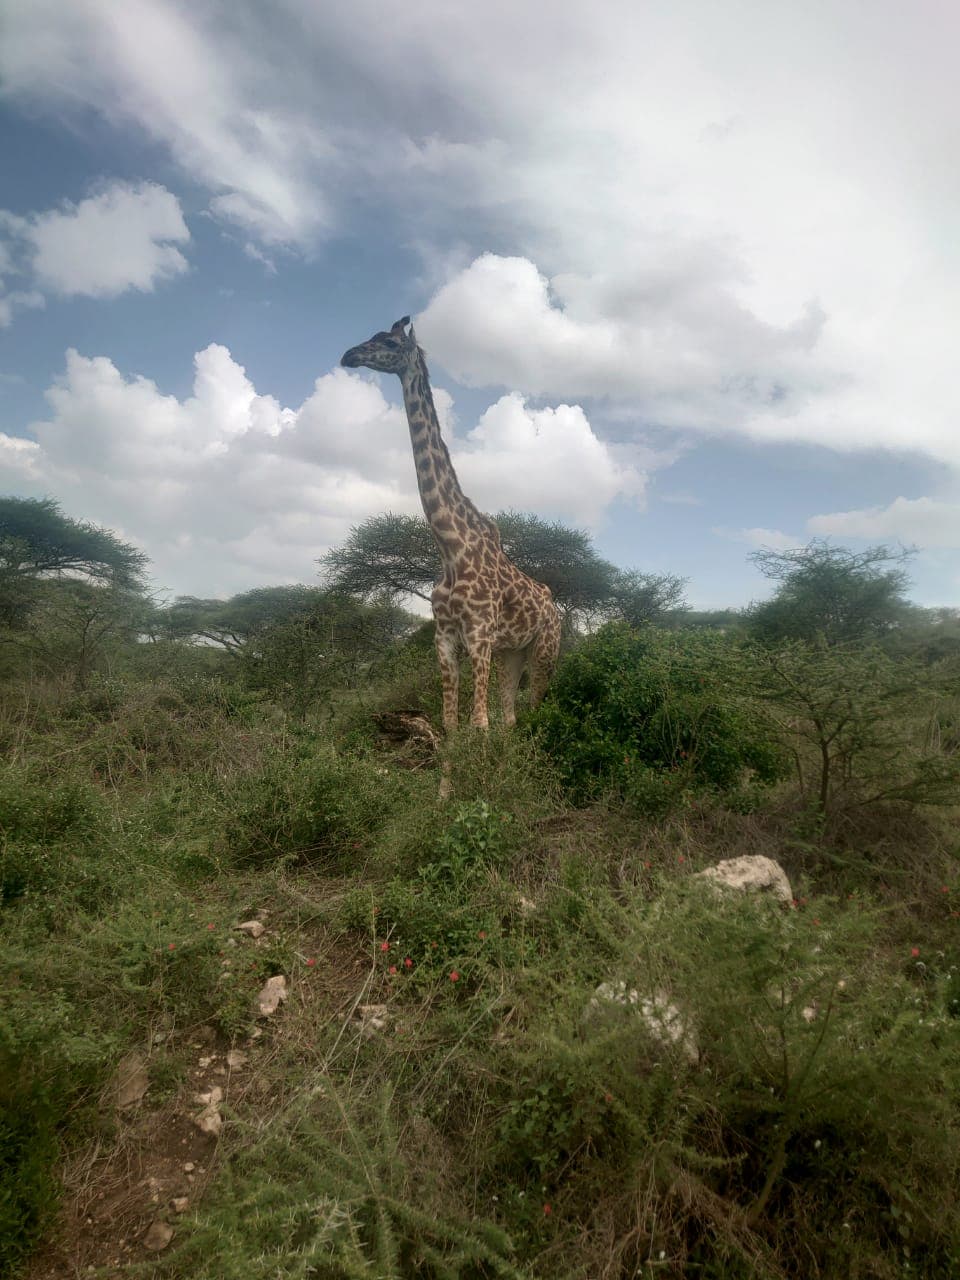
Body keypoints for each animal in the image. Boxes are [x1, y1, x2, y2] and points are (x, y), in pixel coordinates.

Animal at [341, 316, 561, 736]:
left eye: (390, 343)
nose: (349, 355)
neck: (450, 547)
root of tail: (556, 607)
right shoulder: (444, 636)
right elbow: (449, 723)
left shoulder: (479, 634)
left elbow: (479, 724)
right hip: (512, 651)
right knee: (511, 714)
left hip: (544, 649)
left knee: (536, 705)